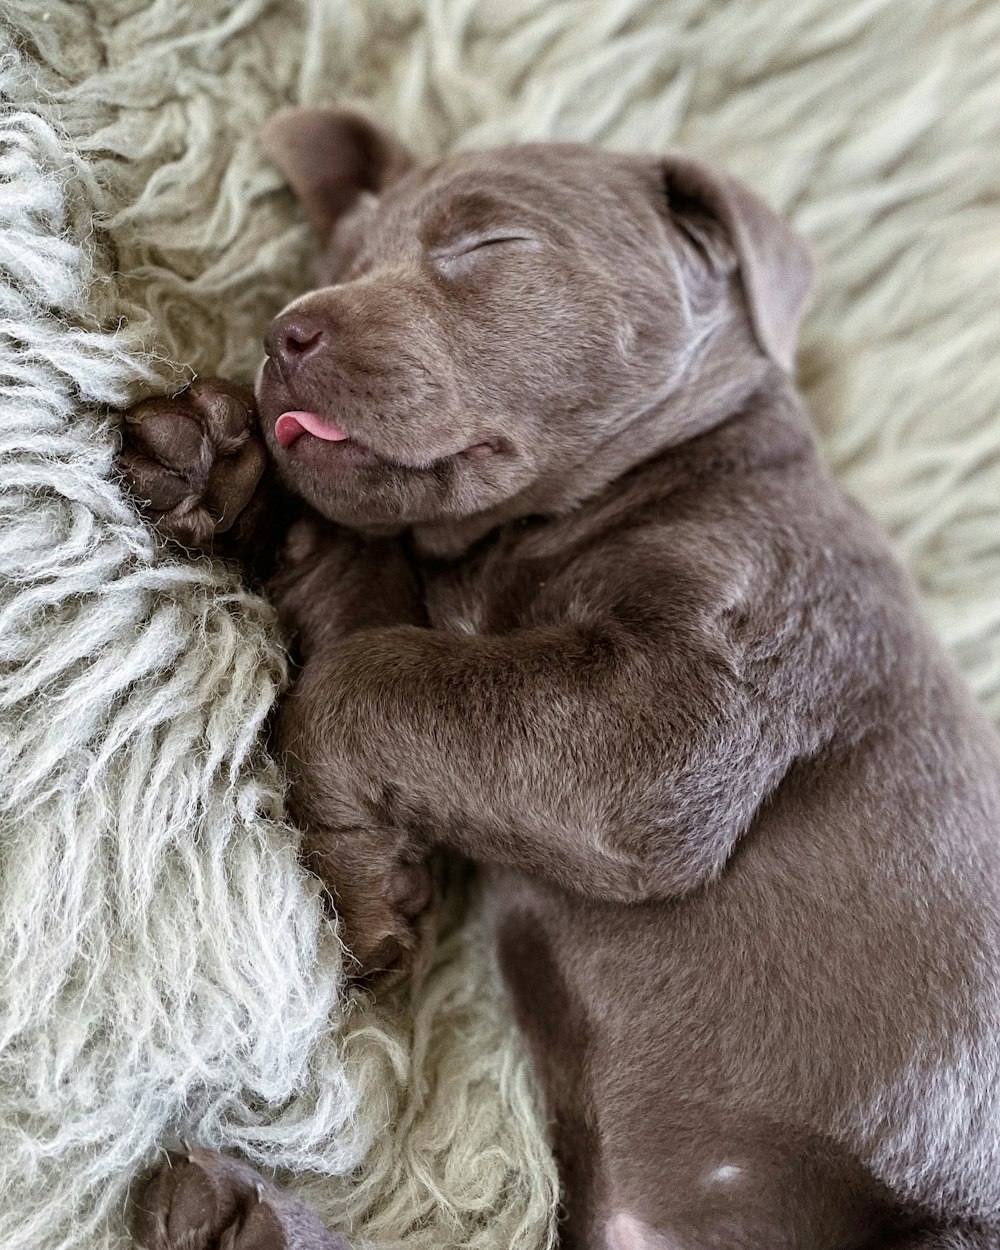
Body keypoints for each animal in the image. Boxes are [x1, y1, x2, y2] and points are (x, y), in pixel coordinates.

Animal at [121, 110, 1000, 1250]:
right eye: (341, 263)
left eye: (487, 245)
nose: (285, 332)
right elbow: (356, 594)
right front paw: (216, 466)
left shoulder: (683, 711)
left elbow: (360, 680)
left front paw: (361, 889)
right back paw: (231, 1213)